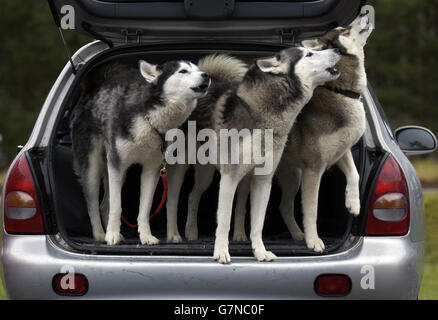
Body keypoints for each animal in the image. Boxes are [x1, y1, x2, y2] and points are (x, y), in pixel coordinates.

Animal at [70, 59, 210, 245]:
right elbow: (117, 206)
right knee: (93, 203)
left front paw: (145, 236)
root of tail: (92, 87)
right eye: (183, 71)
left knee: (104, 204)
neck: (148, 118)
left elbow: (145, 208)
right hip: (93, 167)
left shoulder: (152, 169)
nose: (206, 75)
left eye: (198, 69)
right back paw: (100, 234)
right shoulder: (117, 164)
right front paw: (111, 235)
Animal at [173, 47, 340, 262]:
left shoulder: (263, 180)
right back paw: (180, 233)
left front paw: (260, 251)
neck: (263, 116)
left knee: (202, 197)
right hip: (191, 170)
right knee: (183, 198)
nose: (337, 49)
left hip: (226, 176)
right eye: (309, 54)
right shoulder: (229, 177)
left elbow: (257, 224)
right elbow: (223, 221)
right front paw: (221, 252)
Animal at [233, 13, 372, 252]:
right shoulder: (314, 169)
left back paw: (297, 234)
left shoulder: (341, 152)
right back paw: (240, 234)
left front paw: (353, 203)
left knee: (283, 206)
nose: (364, 14)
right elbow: (312, 209)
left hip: (292, 176)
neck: (340, 91)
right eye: (344, 30)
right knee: (241, 203)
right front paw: (314, 240)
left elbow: (354, 174)